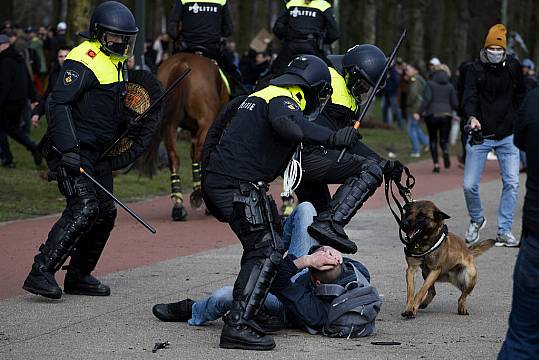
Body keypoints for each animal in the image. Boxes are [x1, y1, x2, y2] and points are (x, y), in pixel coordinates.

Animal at [146, 53, 228, 221]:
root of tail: (182, 63)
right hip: (206, 122)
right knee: (198, 153)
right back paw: (196, 195)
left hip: (169, 125)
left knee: (174, 158)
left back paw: (178, 205)